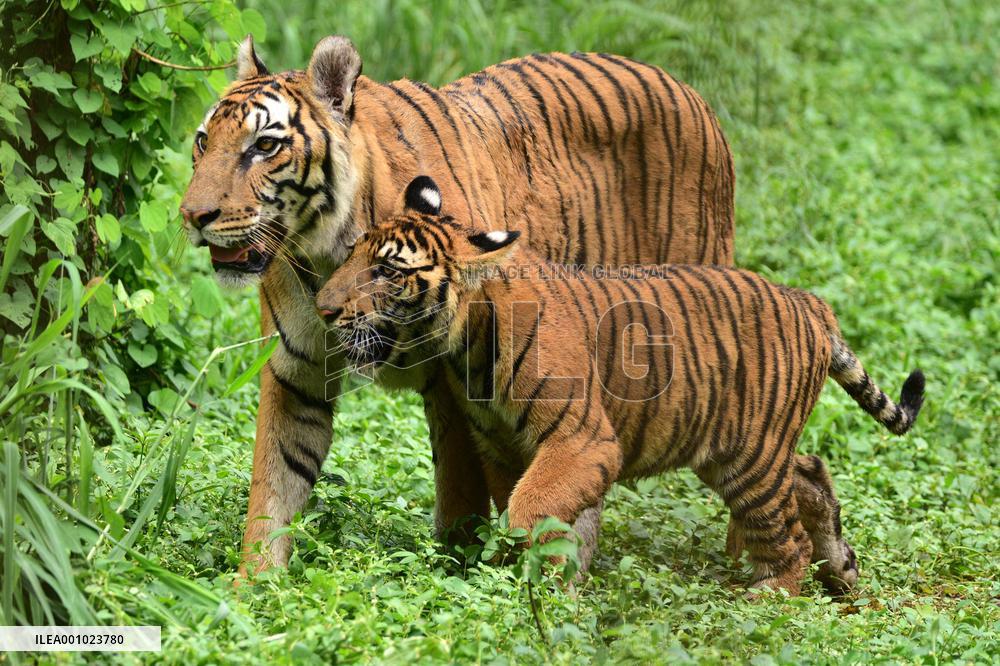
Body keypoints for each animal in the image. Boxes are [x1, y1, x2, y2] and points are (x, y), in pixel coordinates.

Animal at [178, 34, 736, 577]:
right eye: (203, 141)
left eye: (264, 145)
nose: (192, 216)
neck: (322, 250)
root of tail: (693, 94)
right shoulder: (298, 372)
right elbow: (275, 486)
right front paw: (253, 585)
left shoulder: (457, 381)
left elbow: (461, 488)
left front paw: (459, 570)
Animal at [314, 176, 926, 595]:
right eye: (353, 254)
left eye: (387, 272)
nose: (322, 309)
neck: (467, 342)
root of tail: (810, 302)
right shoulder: (500, 445)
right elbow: (529, 504)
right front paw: (537, 579)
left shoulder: (582, 441)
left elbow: (529, 508)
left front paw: (530, 580)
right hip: (740, 448)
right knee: (812, 471)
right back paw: (842, 568)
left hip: (750, 459)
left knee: (787, 537)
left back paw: (770, 596)